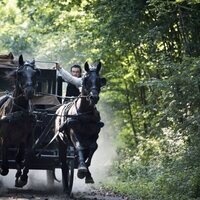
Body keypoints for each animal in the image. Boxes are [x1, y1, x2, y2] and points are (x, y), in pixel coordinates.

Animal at [0, 54, 40, 188]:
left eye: (35, 73)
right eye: (20, 73)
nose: (30, 91)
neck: (19, 113)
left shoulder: (28, 137)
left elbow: (26, 155)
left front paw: (22, 177)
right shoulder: (4, 137)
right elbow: (5, 152)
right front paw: (4, 169)